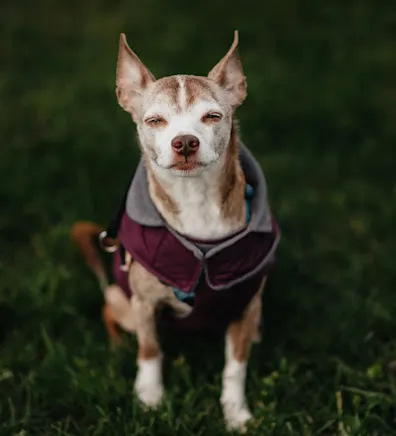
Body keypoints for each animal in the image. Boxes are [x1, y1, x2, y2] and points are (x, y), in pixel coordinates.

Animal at [72, 31, 282, 432]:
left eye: (212, 116)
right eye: (155, 121)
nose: (184, 141)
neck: (195, 199)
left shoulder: (246, 306)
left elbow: (235, 366)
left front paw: (236, 414)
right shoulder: (144, 304)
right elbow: (151, 350)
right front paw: (150, 399)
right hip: (120, 300)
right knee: (111, 313)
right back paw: (118, 346)